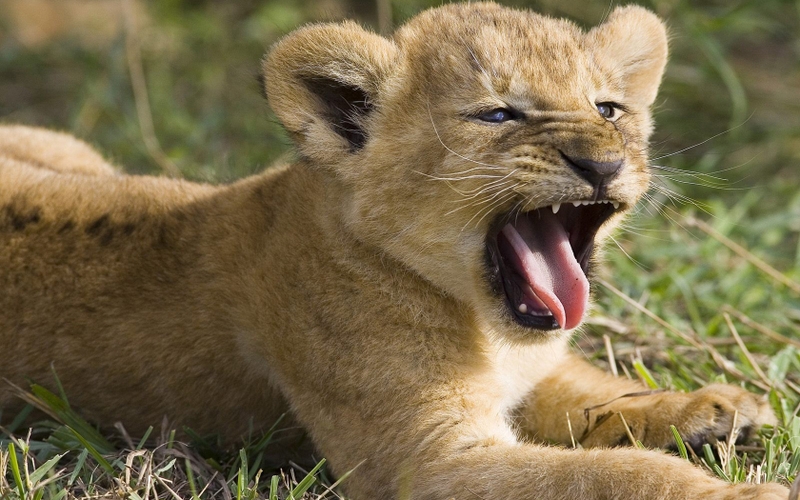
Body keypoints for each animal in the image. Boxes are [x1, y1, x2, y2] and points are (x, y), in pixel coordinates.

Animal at [0, 3, 790, 499]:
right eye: (498, 114)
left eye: (607, 109)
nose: (602, 162)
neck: (482, 323)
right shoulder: (423, 461)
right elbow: (607, 475)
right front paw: (744, 494)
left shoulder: (533, 373)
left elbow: (598, 393)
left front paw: (712, 405)